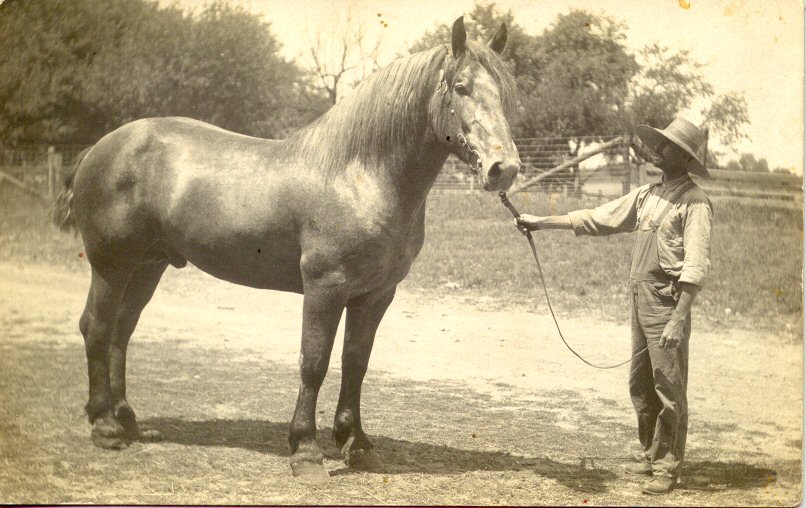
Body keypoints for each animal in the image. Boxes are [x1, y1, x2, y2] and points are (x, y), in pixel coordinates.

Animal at [52, 17, 520, 484]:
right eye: (461, 87)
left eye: (505, 91)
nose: (505, 169)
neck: (358, 175)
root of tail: (98, 149)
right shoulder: (325, 288)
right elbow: (313, 362)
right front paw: (306, 450)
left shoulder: (374, 296)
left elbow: (356, 363)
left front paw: (357, 444)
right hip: (111, 266)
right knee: (96, 328)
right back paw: (105, 426)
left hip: (147, 267)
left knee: (121, 332)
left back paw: (128, 420)